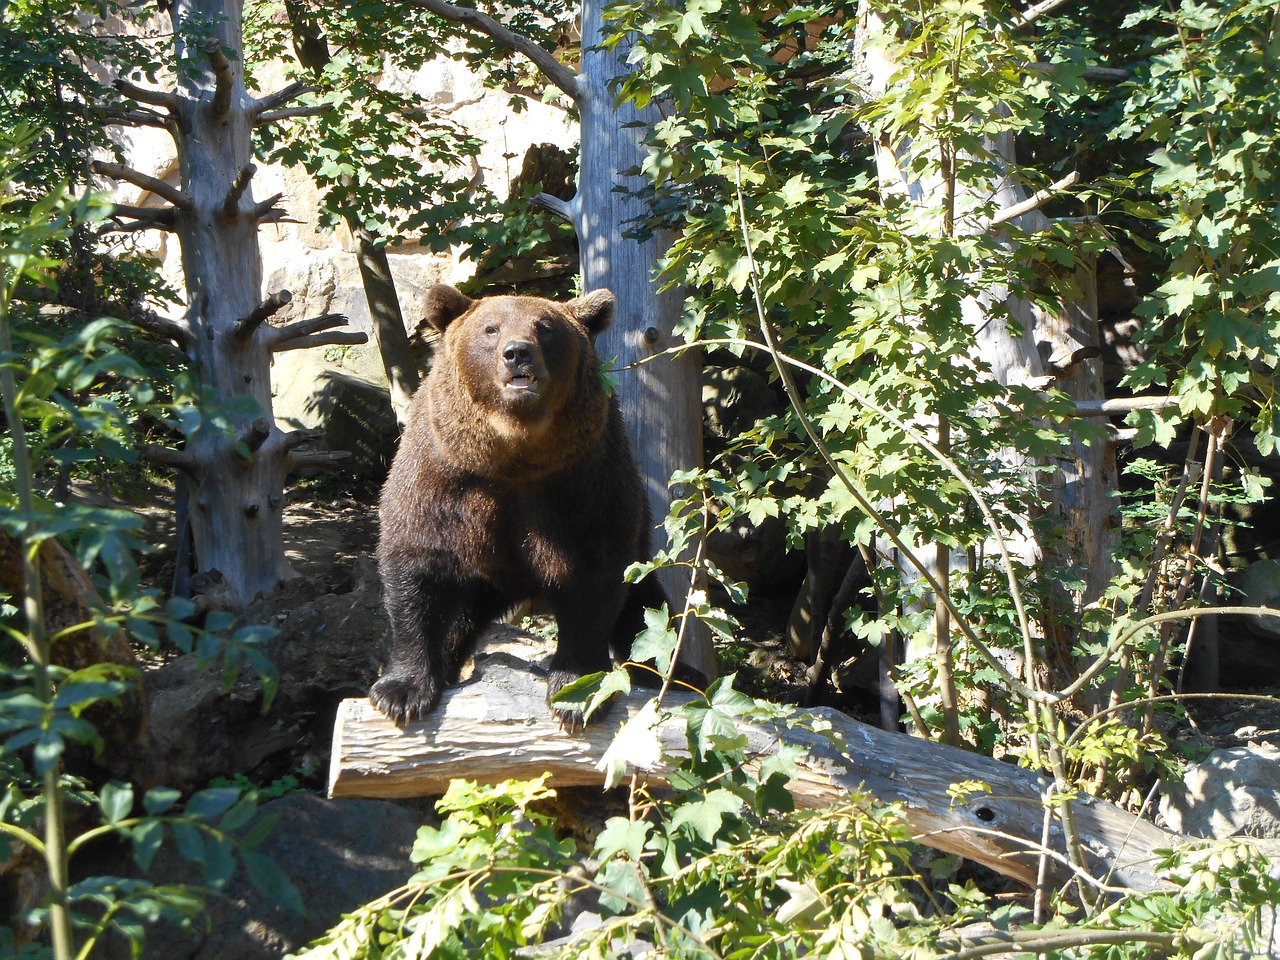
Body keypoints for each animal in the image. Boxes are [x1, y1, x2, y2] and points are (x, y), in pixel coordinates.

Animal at [371, 284, 665, 727]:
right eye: (490, 328)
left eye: (545, 328)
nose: (517, 353)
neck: (514, 453)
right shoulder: (441, 474)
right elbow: (416, 564)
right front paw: (401, 691)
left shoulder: (586, 477)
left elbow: (596, 577)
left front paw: (575, 690)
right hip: (479, 577)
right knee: (458, 620)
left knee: (647, 611)